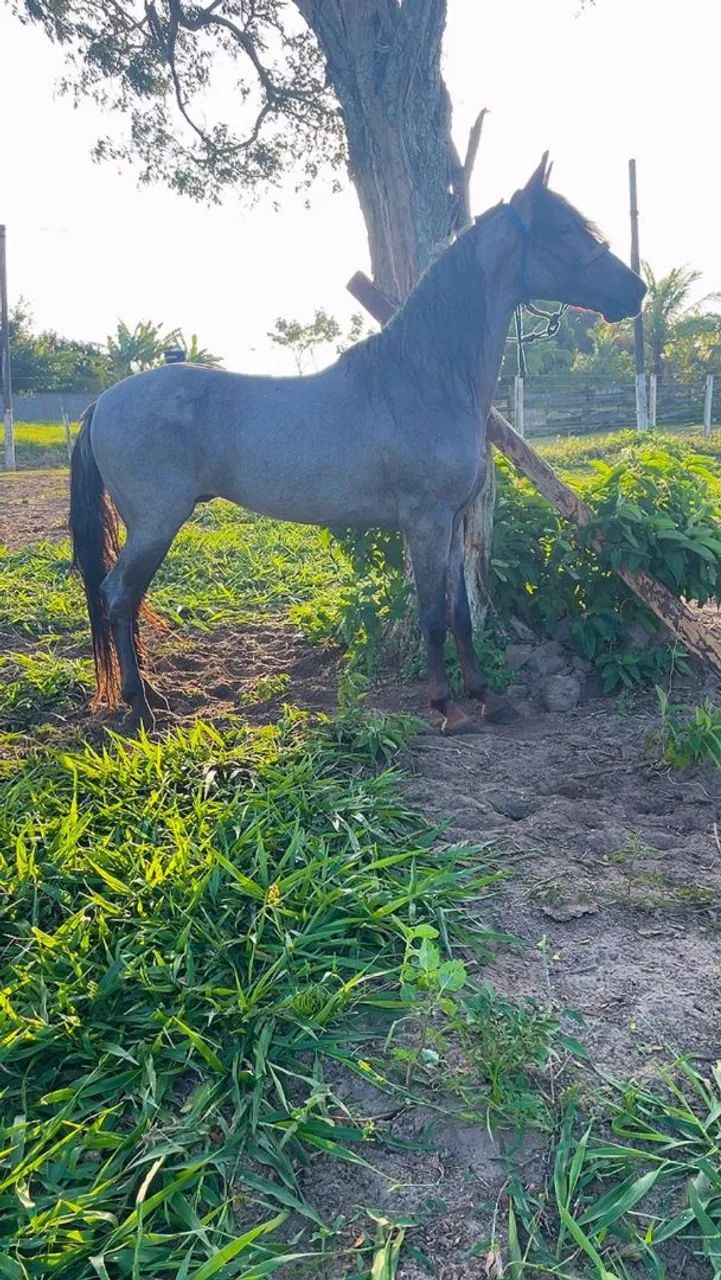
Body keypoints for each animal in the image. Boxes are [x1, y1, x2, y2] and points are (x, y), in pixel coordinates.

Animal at [70, 154, 646, 733]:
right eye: (565, 229)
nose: (636, 291)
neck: (427, 379)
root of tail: (104, 402)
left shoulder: (455, 518)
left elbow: (460, 612)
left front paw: (487, 695)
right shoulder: (426, 519)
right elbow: (432, 614)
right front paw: (447, 705)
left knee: (126, 600)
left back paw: (150, 696)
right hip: (156, 524)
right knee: (119, 596)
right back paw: (142, 706)